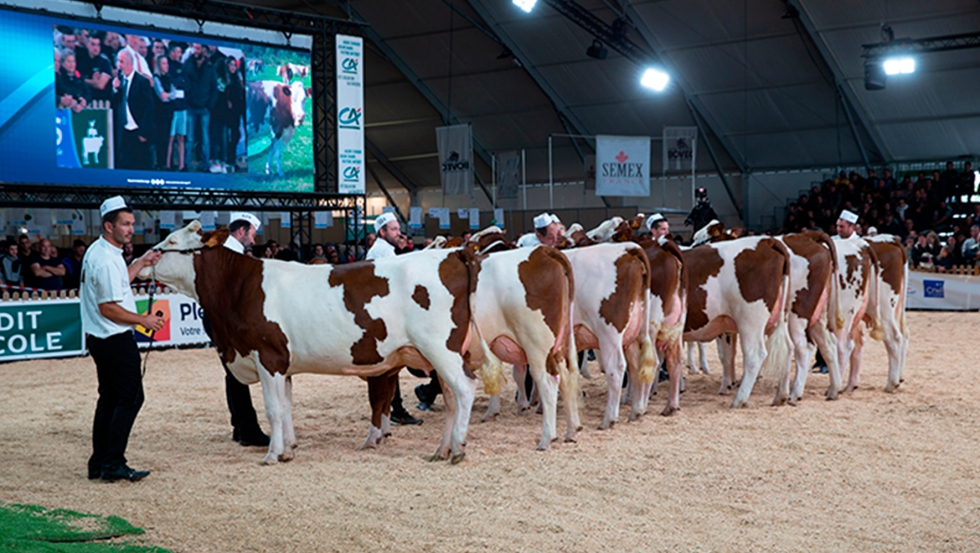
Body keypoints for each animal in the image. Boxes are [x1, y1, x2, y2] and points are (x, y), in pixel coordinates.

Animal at [141, 220, 506, 462]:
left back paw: (457, 449)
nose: (143, 260)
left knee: (464, 388)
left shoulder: (267, 355)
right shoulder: (283, 364)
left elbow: (273, 409)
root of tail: (455, 254)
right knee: (451, 398)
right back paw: (443, 448)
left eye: (170, 242)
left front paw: (272, 455)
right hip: (442, 354)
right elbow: (286, 407)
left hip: (440, 348)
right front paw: (288, 448)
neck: (239, 287)